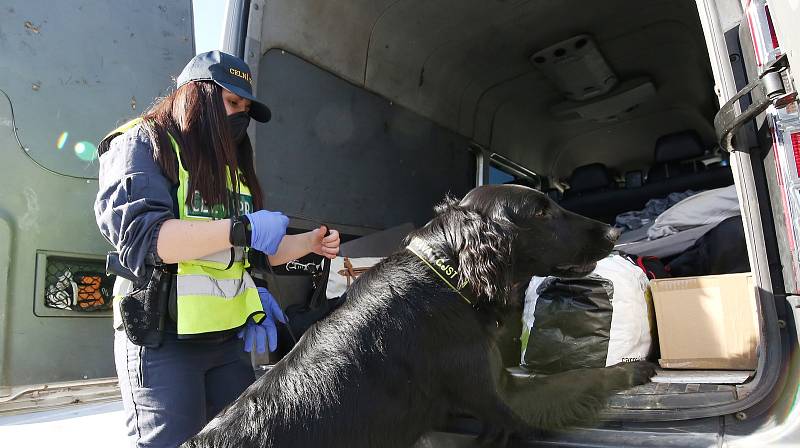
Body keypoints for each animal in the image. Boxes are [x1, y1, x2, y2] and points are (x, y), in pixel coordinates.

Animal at [184, 186, 652, 448]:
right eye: (540, 212)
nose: (614, 231)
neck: (448, 274)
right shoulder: (504, 400)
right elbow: (582, 378)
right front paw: (635, 368)